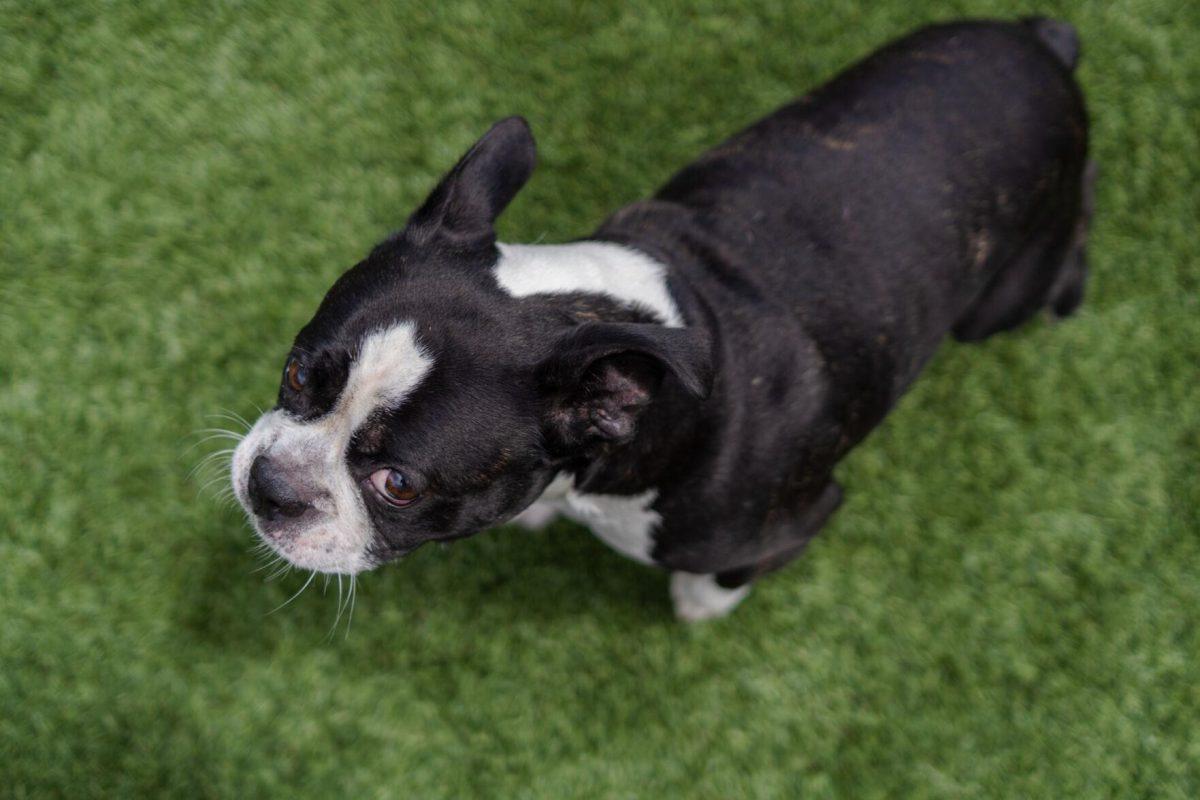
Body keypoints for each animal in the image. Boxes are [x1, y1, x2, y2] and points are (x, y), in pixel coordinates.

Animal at [229, 17, 1094, 618]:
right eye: (296, 371)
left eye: (399, 485)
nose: (272, 487)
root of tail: (1044, 44)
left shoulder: (792, 523)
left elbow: (722, 576)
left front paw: (699, 604)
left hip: (1005, 294)